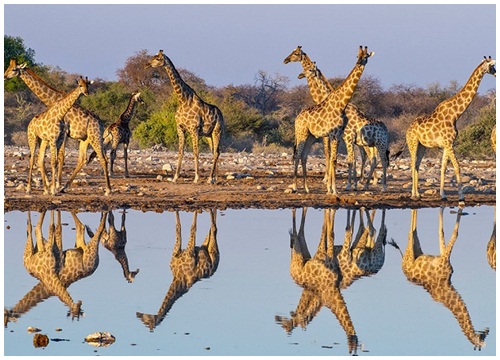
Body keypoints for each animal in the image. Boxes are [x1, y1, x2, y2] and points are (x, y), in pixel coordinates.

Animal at [3, 60, 111, 198]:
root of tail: (102, 124)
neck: (54, 100)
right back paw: (65, 187)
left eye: (14, 69)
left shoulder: (64, 133)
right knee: (82, 159)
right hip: (85, 139)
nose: (5, 76)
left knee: (103, 159)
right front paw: (52, 186)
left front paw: (55, 185)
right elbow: (49, 158)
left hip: (95, 137)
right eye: (8, 67)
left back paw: (107, 190)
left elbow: (60, 157)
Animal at [145, 49, 223, 184]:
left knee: (216, 152)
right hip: (208, 134)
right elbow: (180, 152)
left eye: (158, 59)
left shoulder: (194, 129)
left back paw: (209, 179)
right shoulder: (180, 128)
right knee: (215, 151)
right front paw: (175, 177)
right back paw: (213, 178)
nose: (147, 64)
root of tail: (221, 115)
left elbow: (196, 152)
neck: (183, 100)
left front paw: (196, 178)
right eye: (153, 57)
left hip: (217, 131)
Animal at [276, 207, 358, 356]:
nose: (354, 337)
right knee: (297, 232)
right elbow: (330, 234)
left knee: (300, 232)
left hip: (303, 251)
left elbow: (328, 232)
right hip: (299, 253)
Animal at [390, 207, 488, 350]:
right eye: (483, 339)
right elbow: (454, 233)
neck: (447, 285)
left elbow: (441, 233)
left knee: (414, 233)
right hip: (410, 254)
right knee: (410, 233)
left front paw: (444, 207)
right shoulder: (444, 259)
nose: (487, 330)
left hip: (417, 249)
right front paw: (459, 206)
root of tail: (403, 268)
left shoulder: (442, 256)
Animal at [406, 54, 496, 204]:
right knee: (413, 163)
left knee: (417, 164)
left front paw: (443, 195)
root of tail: (407, 129)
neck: (455, 114)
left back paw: (418, 193)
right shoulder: (449, 143)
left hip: (422, 145)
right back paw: (413, 194)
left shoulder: (447, 144)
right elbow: (457, 167)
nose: (496, 73)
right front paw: (461, 198)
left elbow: (443, 168)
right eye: (491, 66)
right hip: (412, 142)